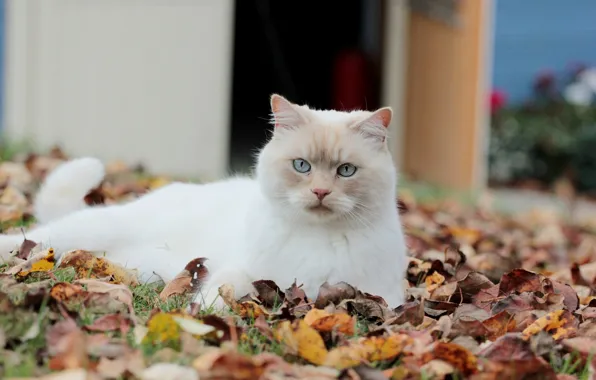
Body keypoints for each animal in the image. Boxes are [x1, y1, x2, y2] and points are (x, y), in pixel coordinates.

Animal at [0, 94, 410, 308]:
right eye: (302, 166)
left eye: (346, 171)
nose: (321, 193)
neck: (317, 238)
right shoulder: (241, 270)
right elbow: (221, 292)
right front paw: (205, 316)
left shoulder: (384, 297)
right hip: (86, 231)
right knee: (29, 238)